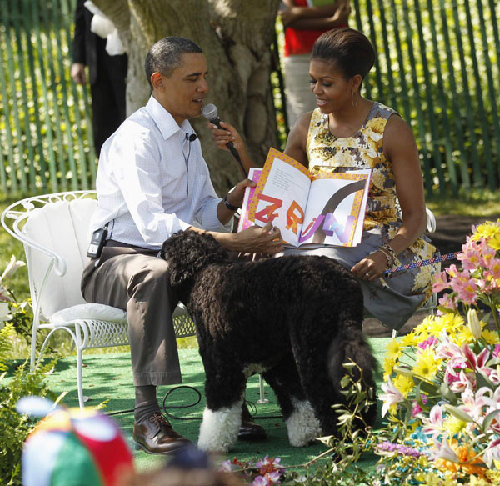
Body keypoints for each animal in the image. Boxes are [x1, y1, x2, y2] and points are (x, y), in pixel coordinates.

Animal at [162, 232, 376, 452]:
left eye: (163, 251)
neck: (203, 275)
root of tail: (344, 282)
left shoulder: (221, 366)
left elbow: (218, 411)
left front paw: (210, 446)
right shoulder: (280, 364)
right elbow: (296, 400)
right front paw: (305, 435)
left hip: (313, 349)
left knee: (331, 395)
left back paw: (342, 444)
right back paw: (360, 429)